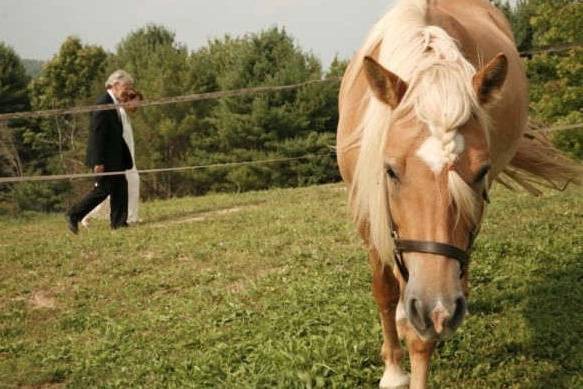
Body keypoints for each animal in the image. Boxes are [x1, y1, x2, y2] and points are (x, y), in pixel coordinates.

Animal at [336, 0, 580, 388]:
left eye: (480, 173)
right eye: (389, 171)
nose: (438, 308)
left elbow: (421, 333)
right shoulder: (367, 213)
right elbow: (385, 290)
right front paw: (393, 371)